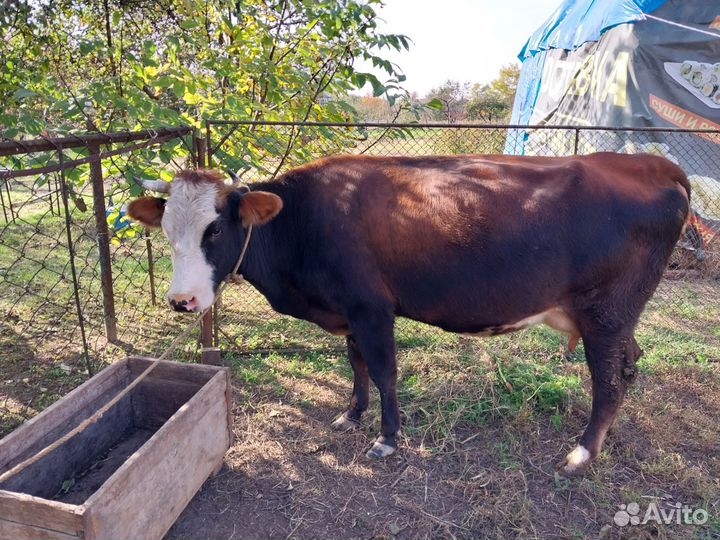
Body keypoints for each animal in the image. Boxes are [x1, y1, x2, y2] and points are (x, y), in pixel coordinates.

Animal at [127, 152, 690, 476]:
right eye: (167, 229)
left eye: (216, 229)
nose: (182, 301)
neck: (302, 222)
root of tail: (652, 163)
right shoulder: (348, 311)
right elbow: (354, 363)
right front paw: (352, 414)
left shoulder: (372, 308)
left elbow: (384, 372)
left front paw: (388, 438)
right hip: (619, 320)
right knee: (630, 366)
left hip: (605, 316)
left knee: (609, 382)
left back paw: (583, 453)